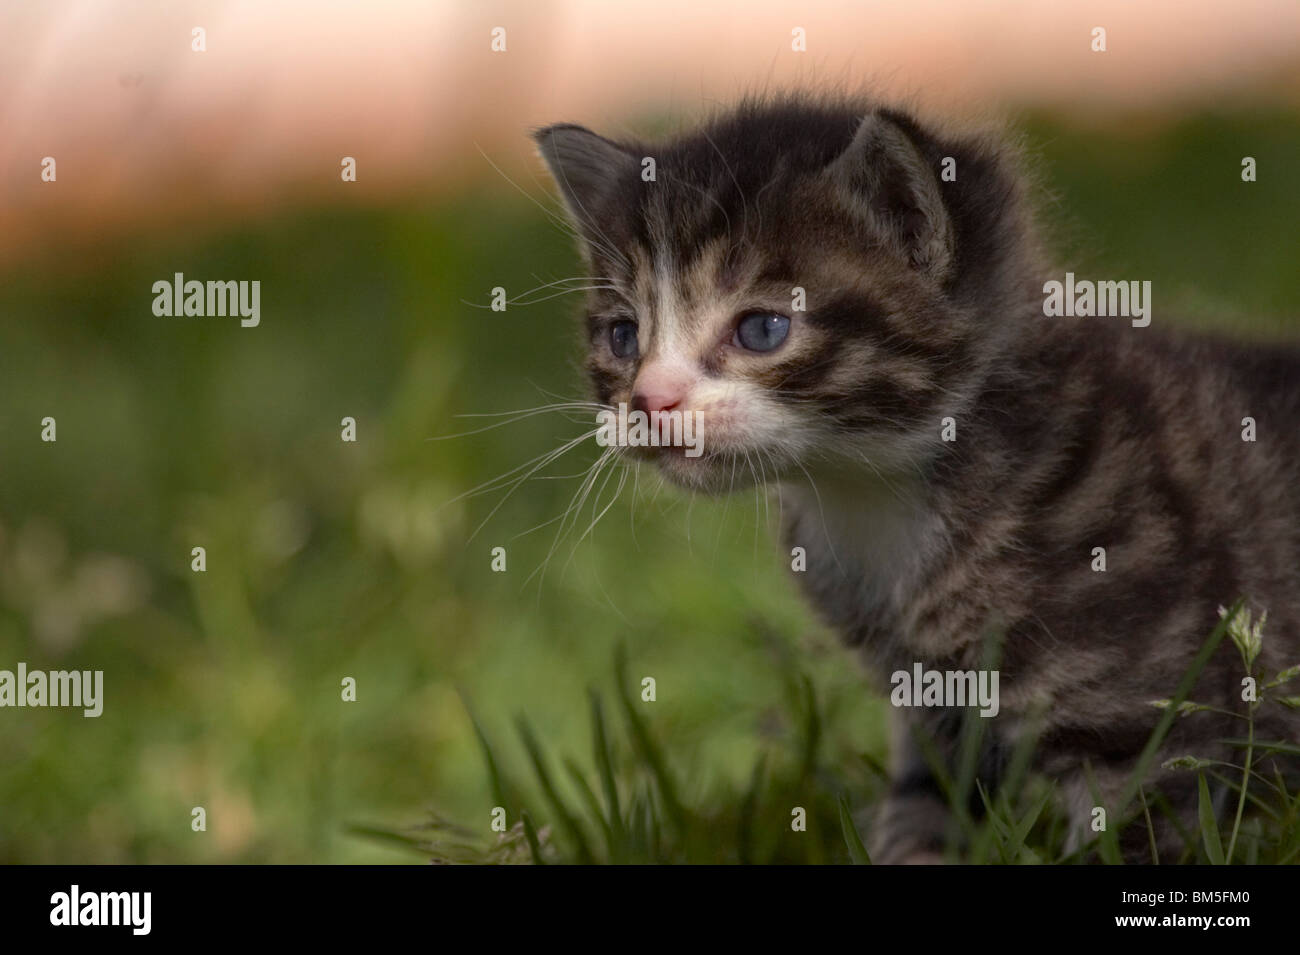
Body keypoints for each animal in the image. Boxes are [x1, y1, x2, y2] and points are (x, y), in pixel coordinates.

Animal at [530, 97, 1300, 867]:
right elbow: (920, 815)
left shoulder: (1156, 727)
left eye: (763, 329)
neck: (872, 498)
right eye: (624, 337)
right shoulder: (934, 712)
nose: (649, 399)